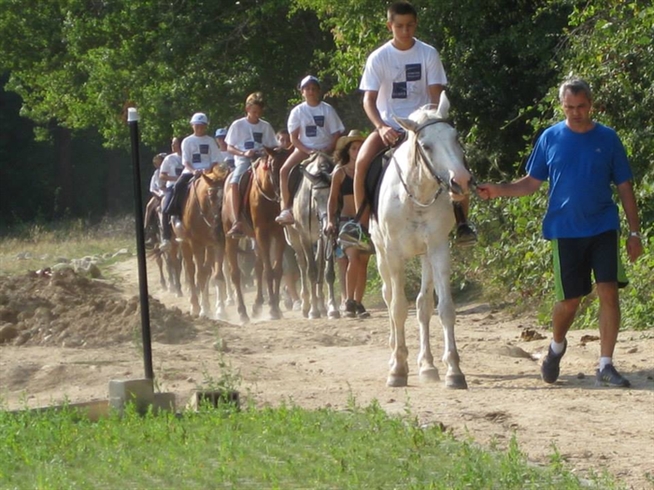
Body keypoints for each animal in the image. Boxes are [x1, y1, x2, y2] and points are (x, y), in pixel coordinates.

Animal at [179, 164, 231, 318]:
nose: (219, 223)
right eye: (210, 195)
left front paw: (220, 310)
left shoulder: (218, 243)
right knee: (191, 271)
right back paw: (195, 305)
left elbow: (217, 275)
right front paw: (203, 310)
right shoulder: (196, 244)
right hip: (185, 244)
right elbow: (199, 275)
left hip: (208, 247)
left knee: (207, 270)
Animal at [223, 147, 290, 324]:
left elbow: (277, 270)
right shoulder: (262, 232)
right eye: (273, 167)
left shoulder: (278, 234)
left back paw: (257, 305)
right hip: (231, 238)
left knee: (258, 267)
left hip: (255, 237)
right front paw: (273, 309)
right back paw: (242, 312)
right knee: (235, 274)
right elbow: (268, 271)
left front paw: (276, 307)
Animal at [286, 155, 340, 320]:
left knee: (318, 264)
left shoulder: (326, 237)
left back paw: (322, 305)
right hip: (295, 237)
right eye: (315, 198)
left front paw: (332, 308)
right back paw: (306, 305)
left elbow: (327, 272)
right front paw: (313, 311)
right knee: (303, 265)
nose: (329, 226)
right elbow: (311, 272)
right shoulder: (305, 237)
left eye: (335, 195)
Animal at [374, 93, 472, 390]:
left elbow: (444, 308)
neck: (416, 196)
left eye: (455, 137)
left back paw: (427, 366)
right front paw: (397, 370)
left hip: (424, 256)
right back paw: (395, 356)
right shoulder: (393, 255)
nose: (461, 180)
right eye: (426, 146)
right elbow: (397, 307)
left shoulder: (438, 248)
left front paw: (454, 371)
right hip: (381, 254)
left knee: (423, 305)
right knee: (389, 297)